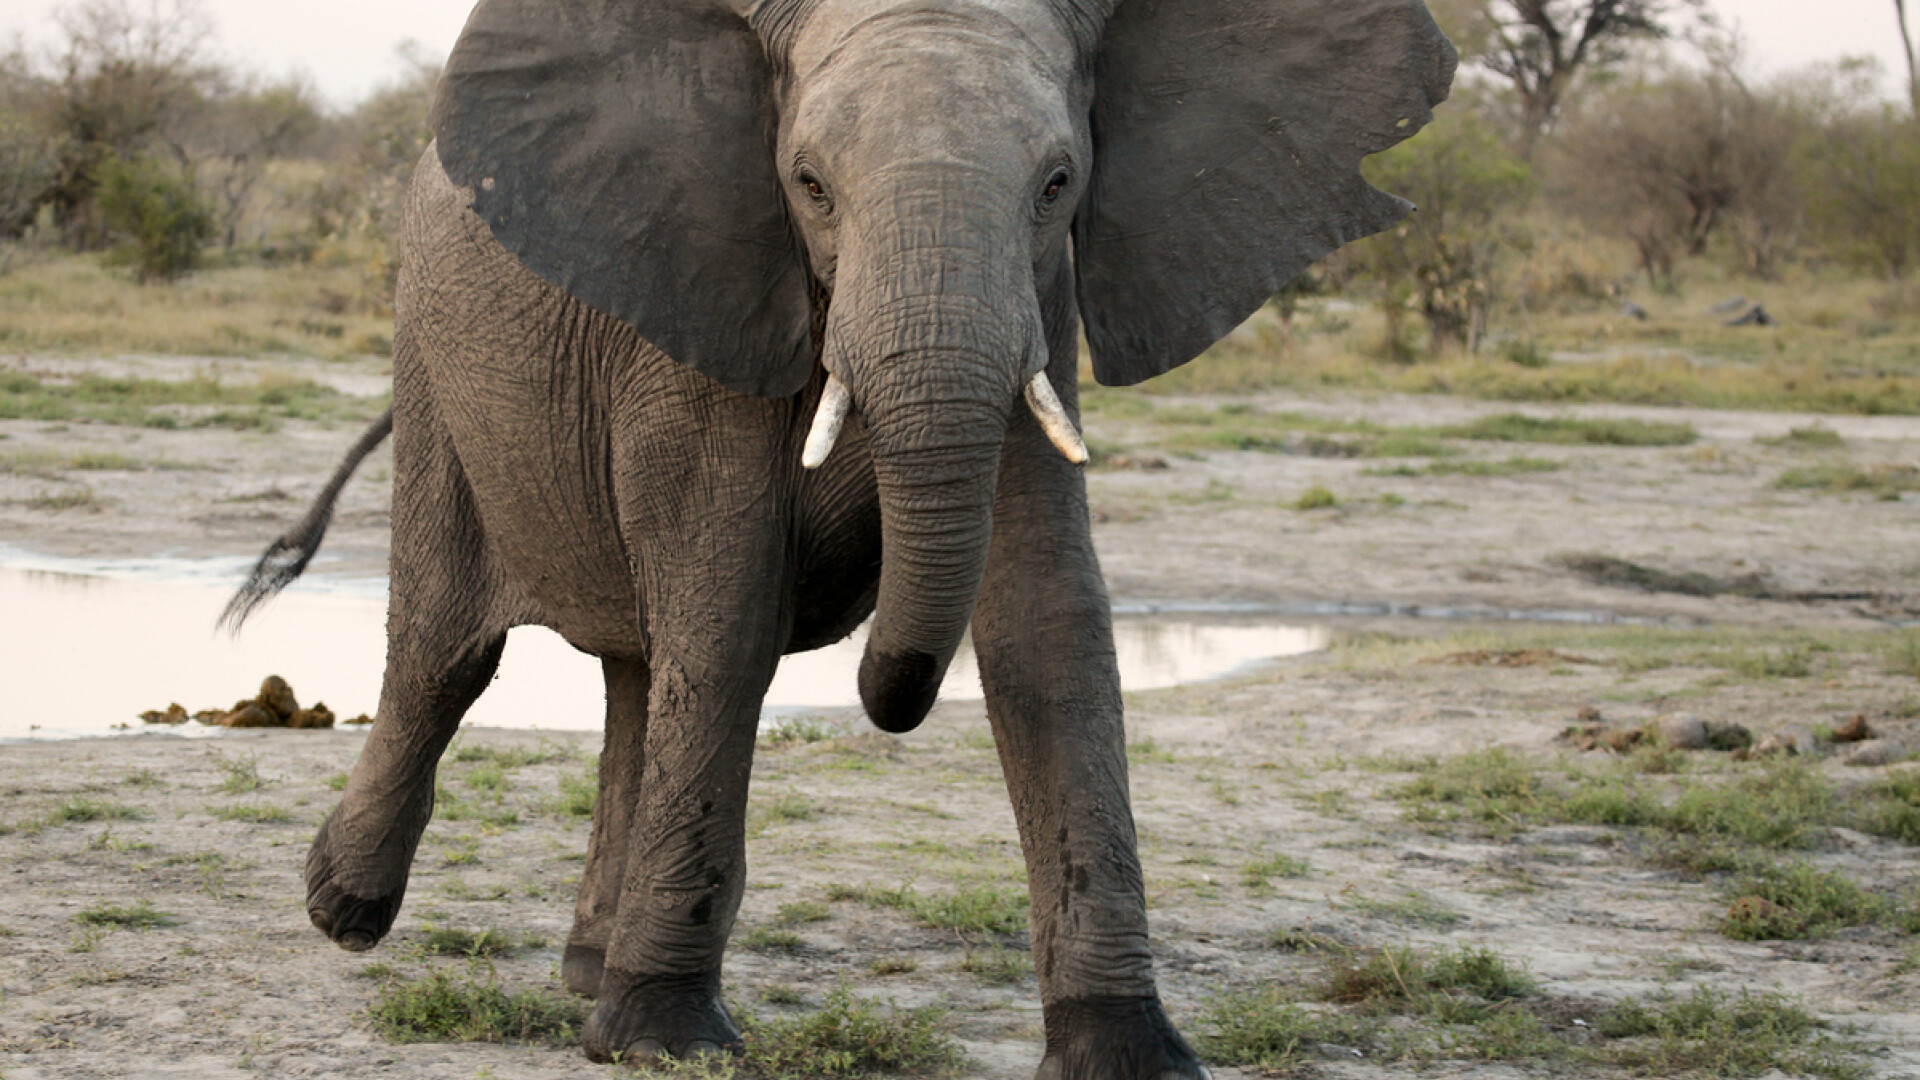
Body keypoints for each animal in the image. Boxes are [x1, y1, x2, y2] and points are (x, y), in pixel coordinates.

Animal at [224, 0, 1453, 1073]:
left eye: (1059, 185)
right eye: (809, 183)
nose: (887, 692)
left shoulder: (1042, 308)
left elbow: (1051, 624)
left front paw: (1130, 1052)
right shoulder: (705, 279)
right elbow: (728, 615)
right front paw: (665, 1042)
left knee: (636, 668)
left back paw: (586, 968)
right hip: (431, 358)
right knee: (451, 649)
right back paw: (344, 911)